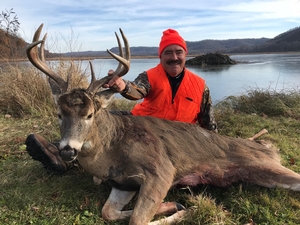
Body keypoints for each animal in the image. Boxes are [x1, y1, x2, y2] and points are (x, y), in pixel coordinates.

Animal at [27, 23, 300, 225]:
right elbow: (109, 212)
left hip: (264, 165)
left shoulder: (161, 170)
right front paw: (172, 205)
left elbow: (137, 220)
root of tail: (270, 149)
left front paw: (184, 209)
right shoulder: (123, 183)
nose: (67, 150)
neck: (111, 151)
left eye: (90, 115)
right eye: (59, 114)